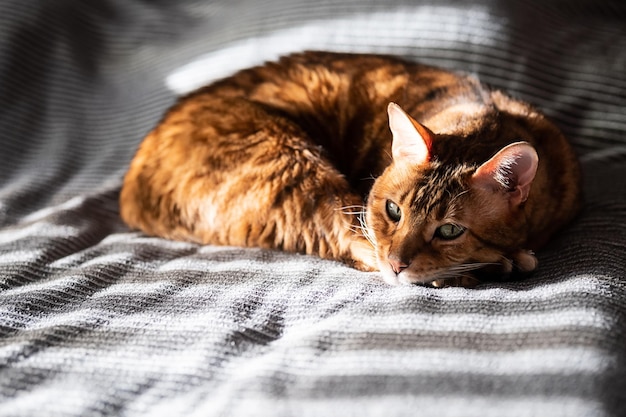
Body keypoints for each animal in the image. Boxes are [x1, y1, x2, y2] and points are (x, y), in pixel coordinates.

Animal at [118, 51, 580, 286]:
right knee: (352, 243)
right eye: (393, 210)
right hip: (292, 162)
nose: (398, 263)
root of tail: (132, 184)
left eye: (449, 230)